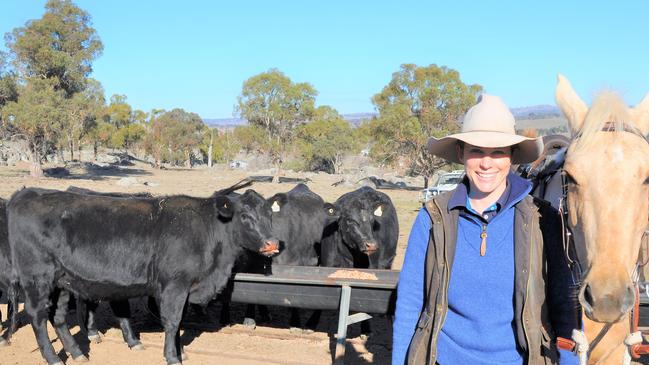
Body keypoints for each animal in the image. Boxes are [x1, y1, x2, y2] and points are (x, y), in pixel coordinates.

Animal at [6, 185, 278, 364]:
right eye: (245, 216)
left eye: (269, 214)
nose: (273, 243)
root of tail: (26, 193)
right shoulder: (174, 285)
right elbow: (172, 321)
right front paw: (172, 357)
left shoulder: (184, 289)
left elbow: (180, 321)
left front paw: (181, 351)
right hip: (37, 278)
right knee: (38, 316)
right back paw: (53, 358)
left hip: (63, 281)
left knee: (59, 317)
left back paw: (77, 354)